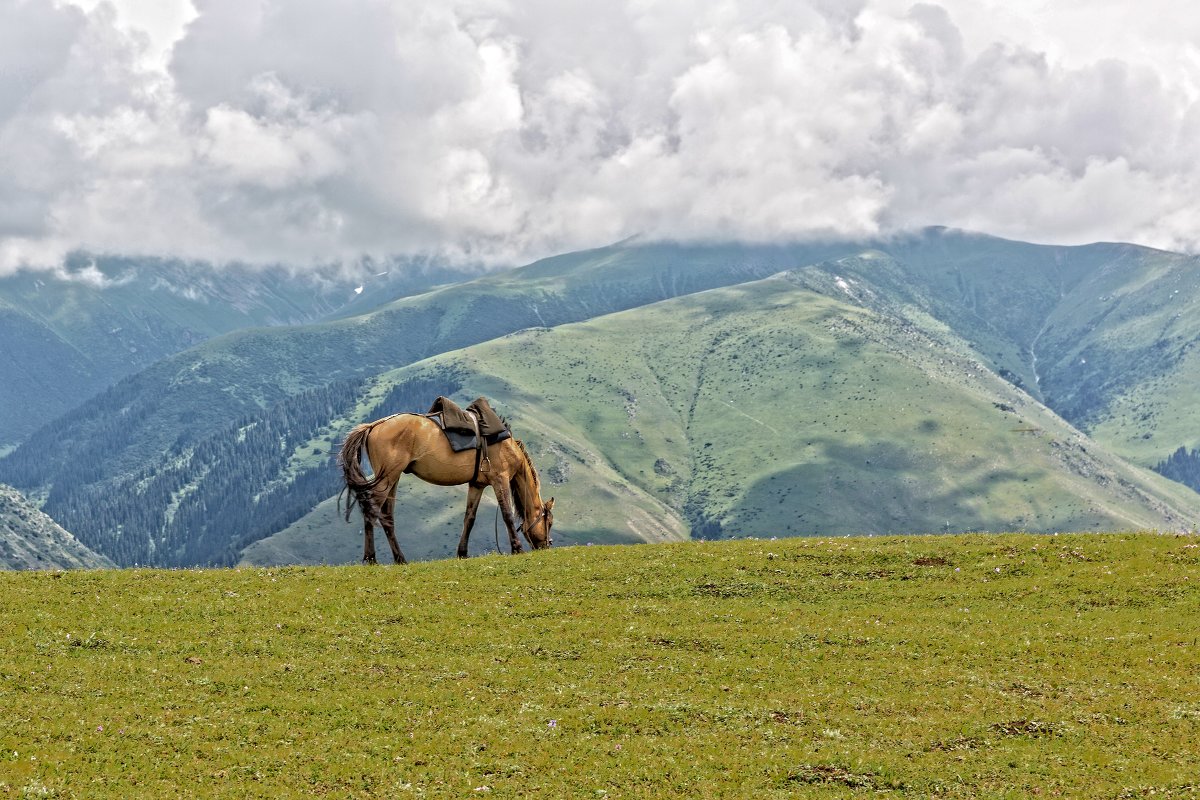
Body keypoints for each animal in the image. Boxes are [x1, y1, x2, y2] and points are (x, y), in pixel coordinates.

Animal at [338, 412, 552, 563]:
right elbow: (507, 514)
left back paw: (400, 558)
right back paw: (371, 558)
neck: (508, 447)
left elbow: (469, 518)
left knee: (387, 516)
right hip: (386, 479)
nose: (547, 545)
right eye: (549, 522)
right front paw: (517, 548)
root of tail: (374, 426)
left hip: (392, 479)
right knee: (371, 511)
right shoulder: (500, 479)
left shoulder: (477, 485)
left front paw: (462, 552)